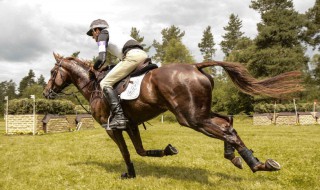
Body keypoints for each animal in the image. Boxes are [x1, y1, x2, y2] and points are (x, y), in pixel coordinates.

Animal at [43, 53, 302, 178]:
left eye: (53, 71)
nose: (46, 92)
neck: (95, 86)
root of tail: (196, 66)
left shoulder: (112, 128)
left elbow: (126, 152)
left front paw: (129, 174)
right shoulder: (131, 125)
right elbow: (139, 150)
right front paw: (167, 151)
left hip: (191, 118)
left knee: (227, 131)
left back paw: (255, 164)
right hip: (200, 112)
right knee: (228, 123)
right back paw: (246, 161)